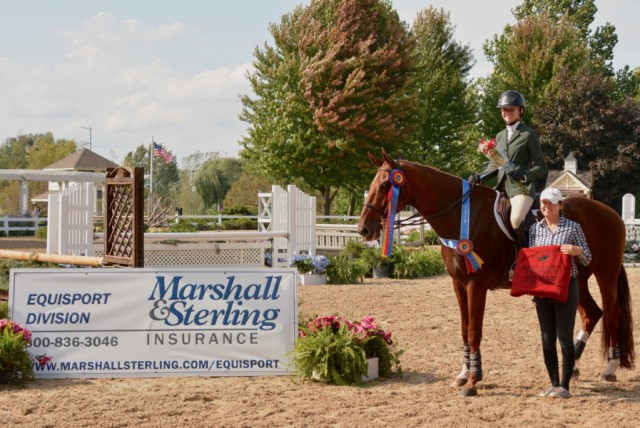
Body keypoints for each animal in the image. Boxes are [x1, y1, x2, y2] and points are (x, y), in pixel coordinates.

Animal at [358, 149, 632, 396]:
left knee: (612, 314)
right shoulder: (458, 284)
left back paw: (610, 368)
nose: (364, 229)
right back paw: (573, 365)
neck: (461, 216)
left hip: (605, 275)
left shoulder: (476, 285)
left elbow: (474, 331)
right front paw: (463, 373)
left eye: (385, 185)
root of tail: (611, 213)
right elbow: (464, 329)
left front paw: (473, 379)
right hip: (578, 278)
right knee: (592, 314)